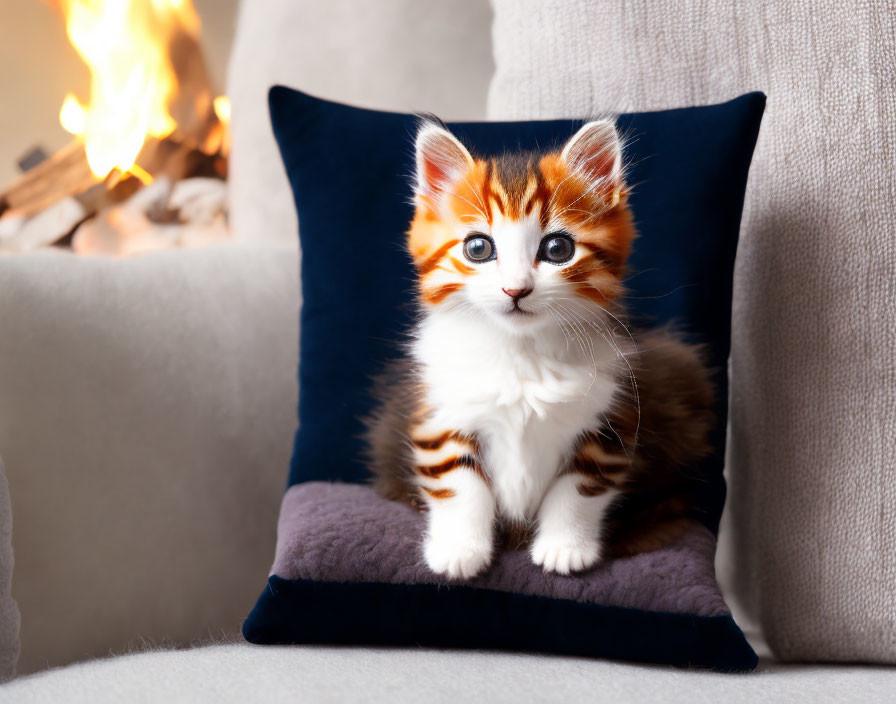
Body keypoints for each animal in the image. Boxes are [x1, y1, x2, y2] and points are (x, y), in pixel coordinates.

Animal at [364, 121, 712, 580]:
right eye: (478, 248)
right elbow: (459, 485)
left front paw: (565, 548)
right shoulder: (440, 414)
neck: (522, 352)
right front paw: (461, 550)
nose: (516, 289)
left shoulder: (610, 422)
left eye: (557, 249)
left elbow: (579, 488)